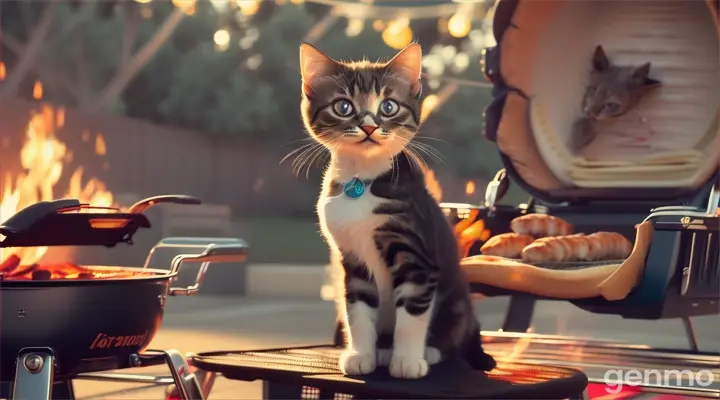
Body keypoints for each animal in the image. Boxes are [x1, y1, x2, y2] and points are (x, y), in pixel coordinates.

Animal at [298, 42, 496, 380]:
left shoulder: (418, 252)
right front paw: (361, 355)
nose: (369, 126)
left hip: (458, 299)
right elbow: (358, 309)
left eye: (388, 107)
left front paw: (407, 360)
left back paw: (430, 351)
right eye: (343, 107)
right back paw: (381, 350)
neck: (362, 182)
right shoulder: (351, 257)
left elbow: (413, 312)